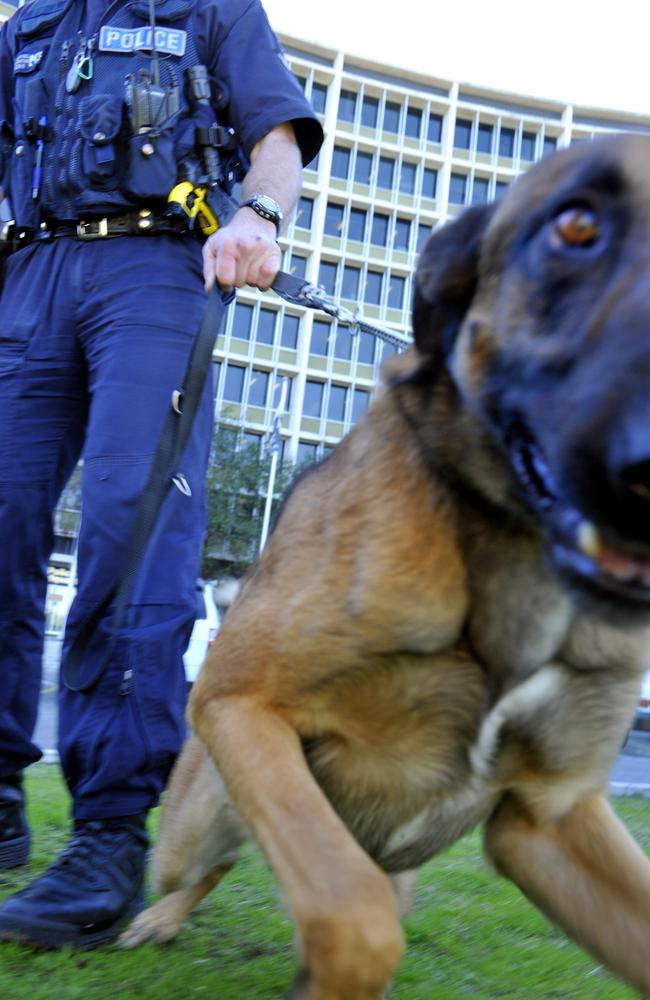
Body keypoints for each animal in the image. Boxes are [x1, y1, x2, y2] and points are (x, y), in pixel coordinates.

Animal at [121, 135, 650, 1000]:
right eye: (575, 227)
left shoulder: (550, 819)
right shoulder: (240, 703)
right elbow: (353, 916)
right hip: (196, 818)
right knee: (207, 862)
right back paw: (161, 917)